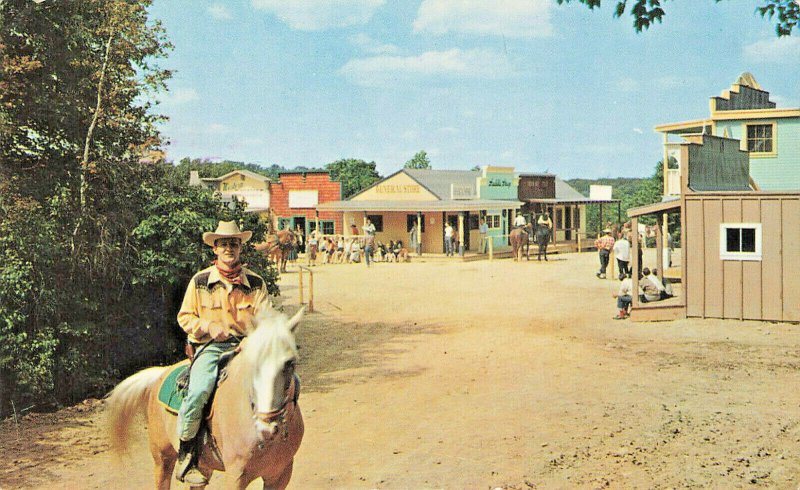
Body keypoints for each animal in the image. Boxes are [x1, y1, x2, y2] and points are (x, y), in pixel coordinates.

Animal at [107, 308, 306, 488]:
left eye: (290, 363)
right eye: (251, 363)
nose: (266, 428)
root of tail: (162, 373)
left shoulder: (280, 475)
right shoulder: (235, 476)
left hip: (203, 465)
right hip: (162, 459)